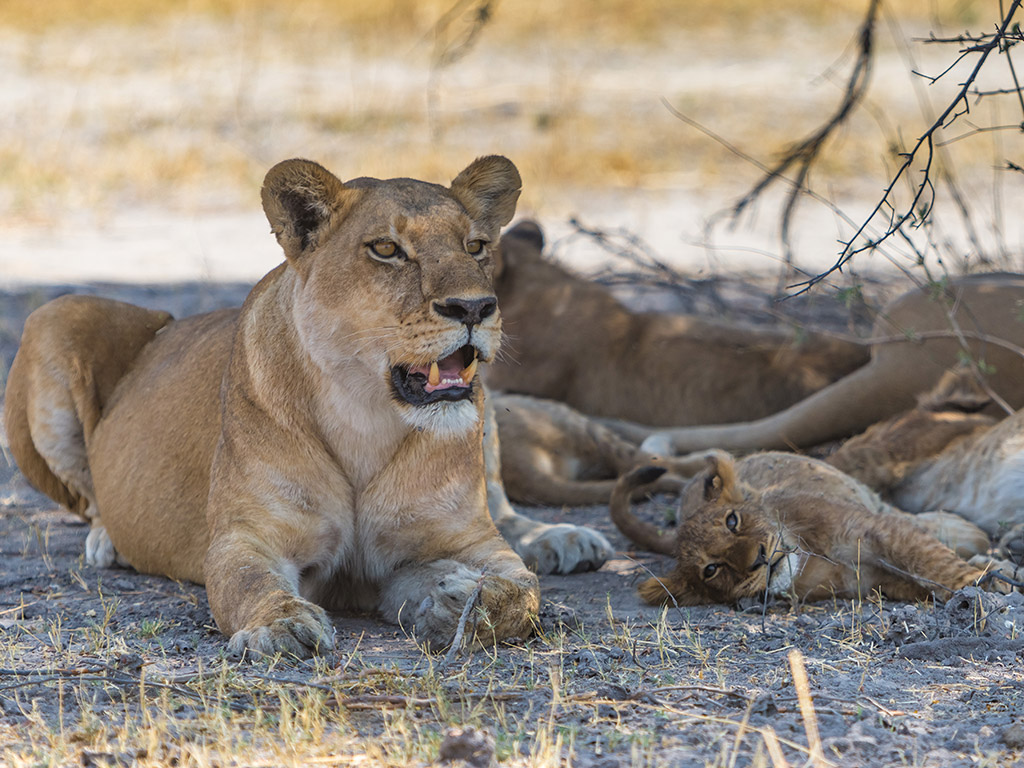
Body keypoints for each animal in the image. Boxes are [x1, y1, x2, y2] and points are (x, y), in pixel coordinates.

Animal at [3, 156, 568, 657]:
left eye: (476, 246)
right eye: (387, 249)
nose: (474, 308)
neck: (364, 415)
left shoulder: (467, 540)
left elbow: (525, 589)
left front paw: (463, 601)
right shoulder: (247, 536)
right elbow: (248, 583)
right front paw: (282, 626)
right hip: (56, 314)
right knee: (88, 499)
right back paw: (108, 542)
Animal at [610, 452, 1000, 606]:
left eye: (733, 521)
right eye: (711, 570)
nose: (759, 558)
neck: (813, 556)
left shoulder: (872, 527)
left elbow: (930, 559)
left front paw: (979, 584)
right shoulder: (869, 581)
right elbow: (918, 579)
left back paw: (969, 534)